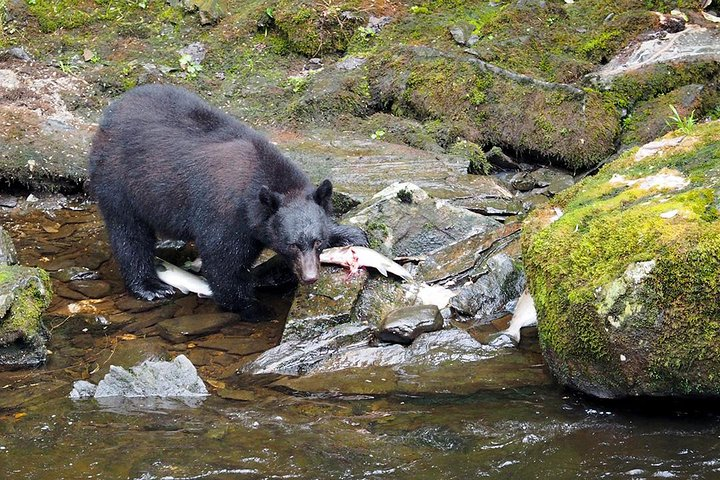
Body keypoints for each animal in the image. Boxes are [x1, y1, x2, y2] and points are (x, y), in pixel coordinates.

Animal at [88, 84, 368, 319]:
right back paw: (150, 286)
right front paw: (252, 307)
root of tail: (111, 112)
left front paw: (351, 235)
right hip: (117, 179)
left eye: (317, 242)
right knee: (129, 234)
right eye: (292, 245)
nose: (310, 277)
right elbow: (223, 263)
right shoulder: (226, 216)